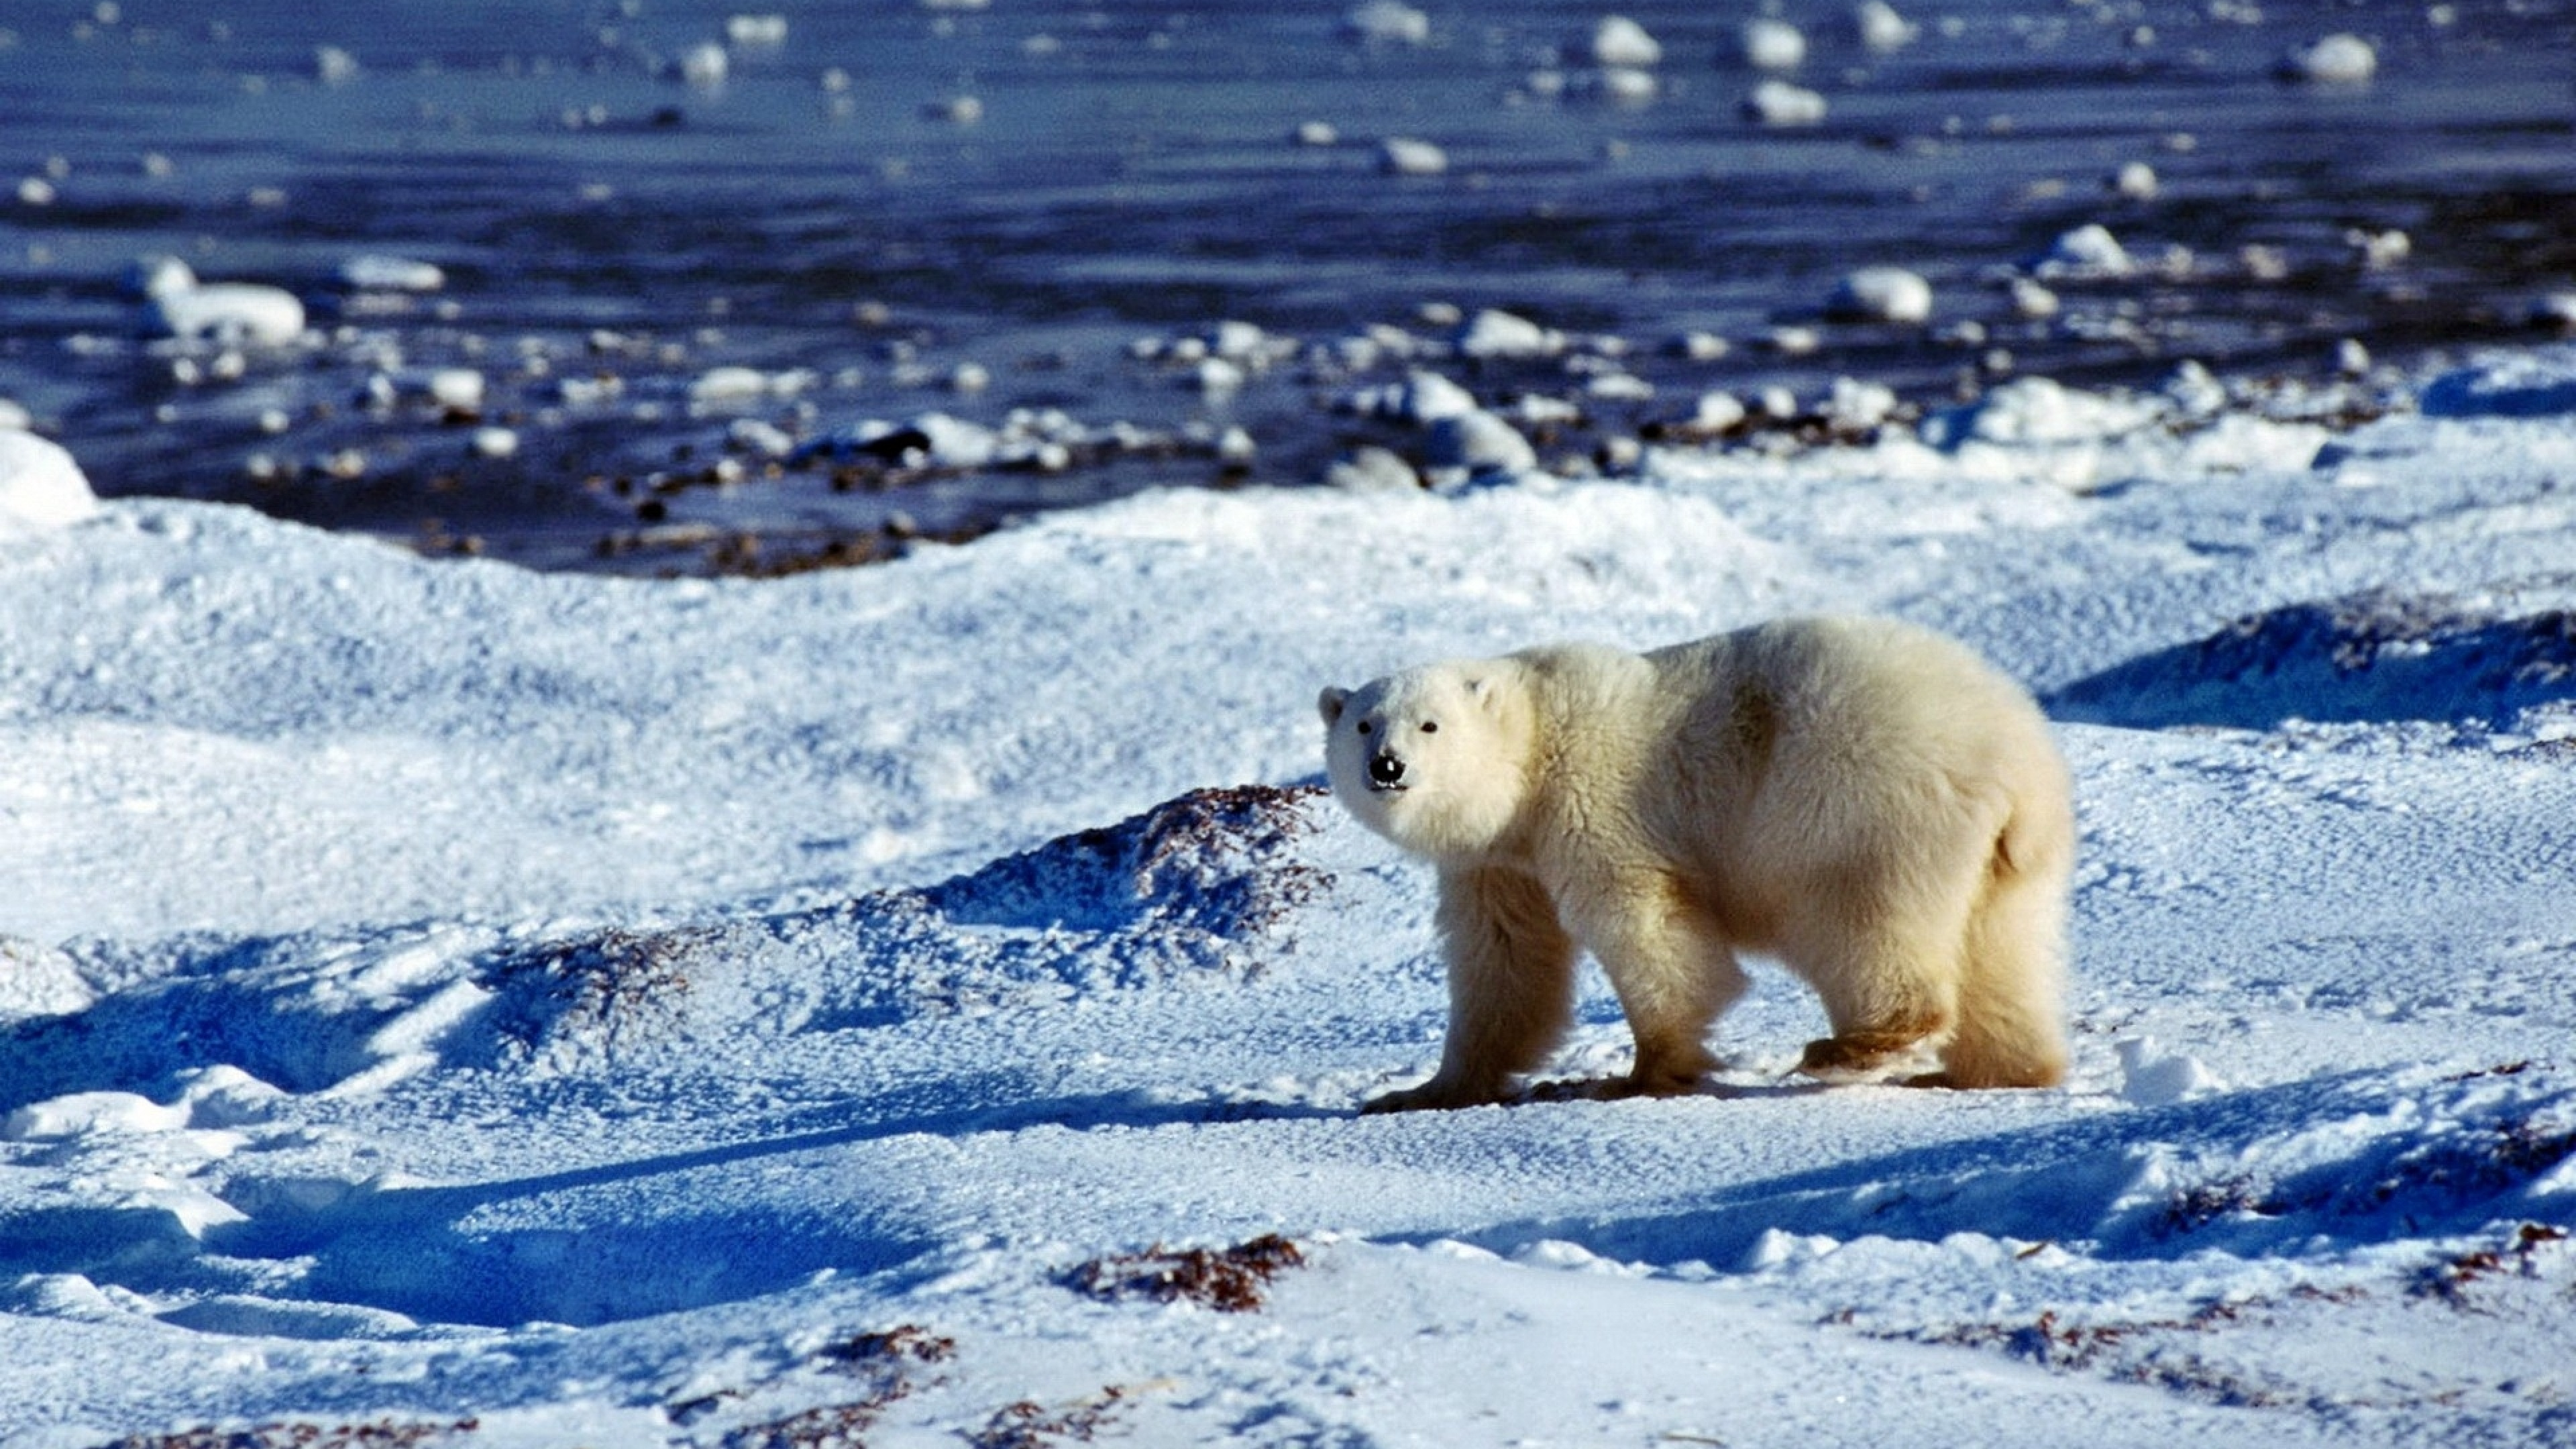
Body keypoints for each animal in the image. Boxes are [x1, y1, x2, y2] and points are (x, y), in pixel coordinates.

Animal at [1319, 613, 2081, 1108]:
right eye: (1362, 723)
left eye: (1430, 724)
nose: (1386, 767)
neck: (1534, 746)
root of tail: (2014, 760)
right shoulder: (1497, 862)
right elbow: (1504, 961)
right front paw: (1423, 1091)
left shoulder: (1593, 804)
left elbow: (1647, 927)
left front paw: (1637, 1075)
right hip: (2010, 861)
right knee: (2002, 951)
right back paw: (1992, 1071)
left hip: (1858, 804)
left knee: (1858, 918)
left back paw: (1852, 1048)